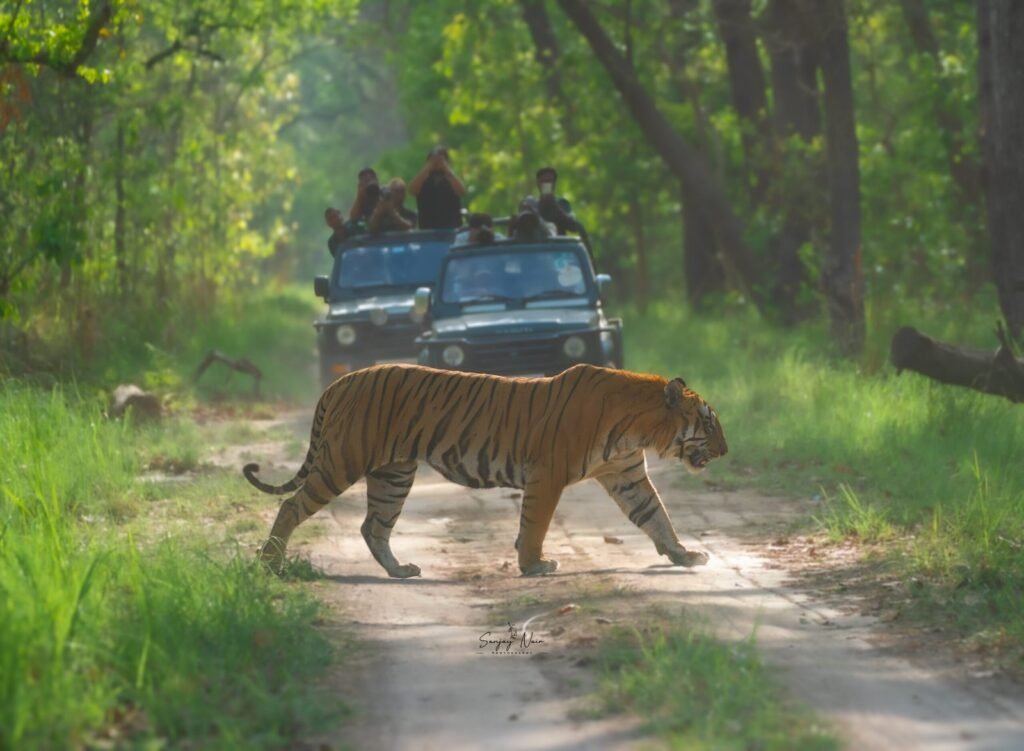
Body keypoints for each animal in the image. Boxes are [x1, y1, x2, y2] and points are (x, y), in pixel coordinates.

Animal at [244, 363, 727, 578]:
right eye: (708, 422)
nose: (726, 450)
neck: (638, 428)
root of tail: (341, 380)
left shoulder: (627, 477)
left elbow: (657, 517)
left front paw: (685, 555)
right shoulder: (548, 474)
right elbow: (535, 524)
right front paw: (534, 565)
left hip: (393, 474)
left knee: (373, 526)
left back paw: (400, 570)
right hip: (344, 459)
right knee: (292, 505)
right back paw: (270, 562)